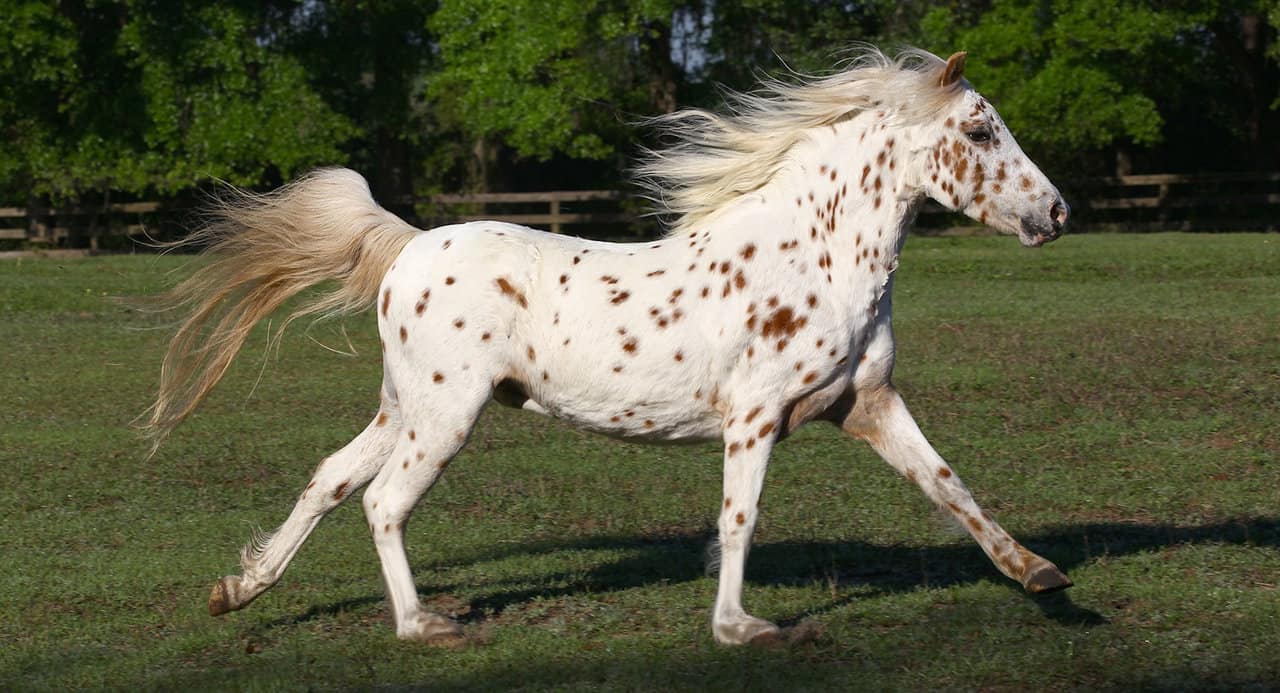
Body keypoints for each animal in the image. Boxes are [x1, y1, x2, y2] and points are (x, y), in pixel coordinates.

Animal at [146, 48, 1071, 646]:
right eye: (981, 132)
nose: (1056, 212)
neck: (814, 255)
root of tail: (407, 246)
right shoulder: (755, 416)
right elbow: (740, 518)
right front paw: (741, 626)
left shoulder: (868, 404)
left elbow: (952, 486)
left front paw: (1041, 575)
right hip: (444, 413)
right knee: (383, 501)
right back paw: (422, 624)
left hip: (402, 406)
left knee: (332, 478)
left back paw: (239, 589)